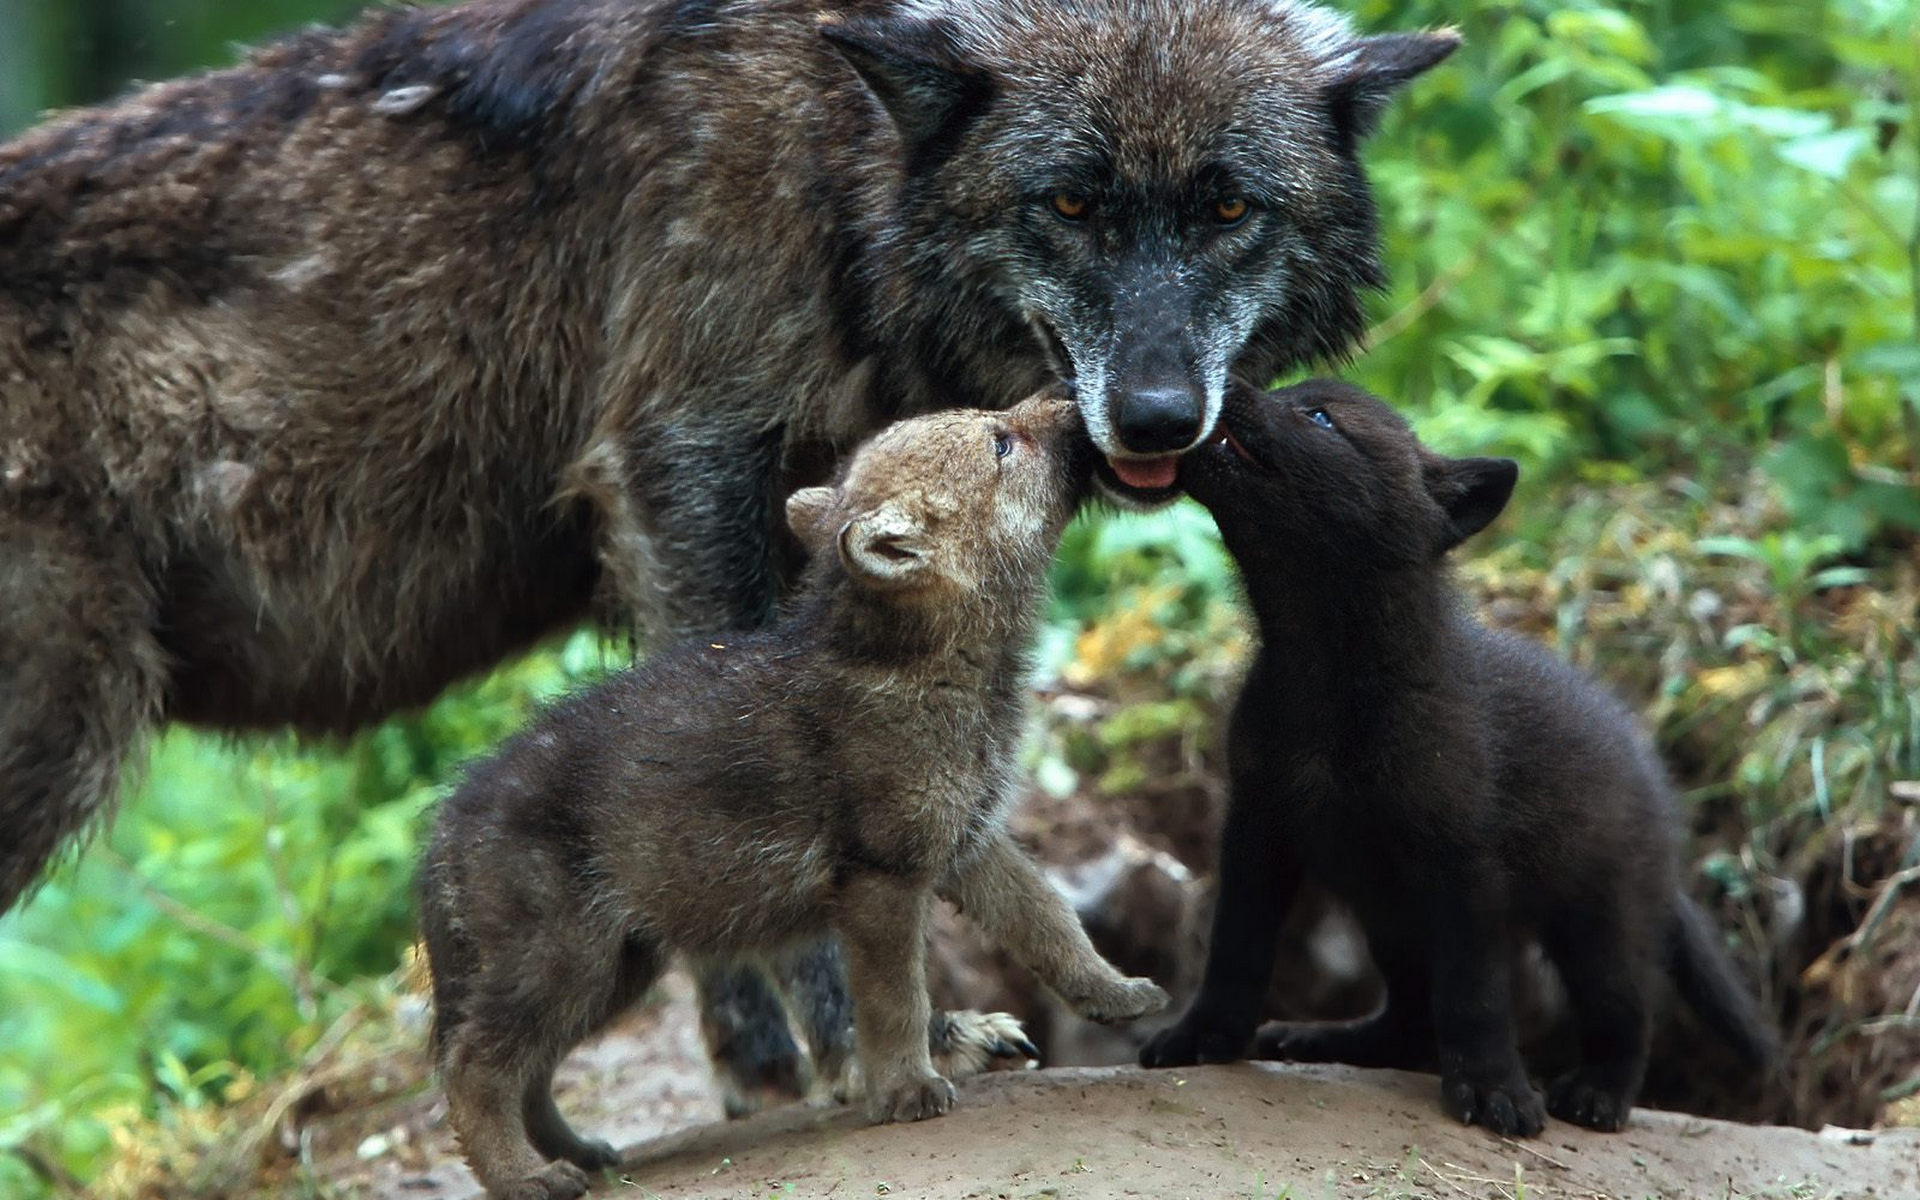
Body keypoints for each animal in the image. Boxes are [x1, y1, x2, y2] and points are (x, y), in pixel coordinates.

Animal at [0, 0, 1451, 1105]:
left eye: (1227, 208)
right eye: (1073, 201)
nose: (1157, 417)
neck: (837, 162)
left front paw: (760, 1054)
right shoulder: (679, 470)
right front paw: (870, 1045)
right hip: (61, 752)